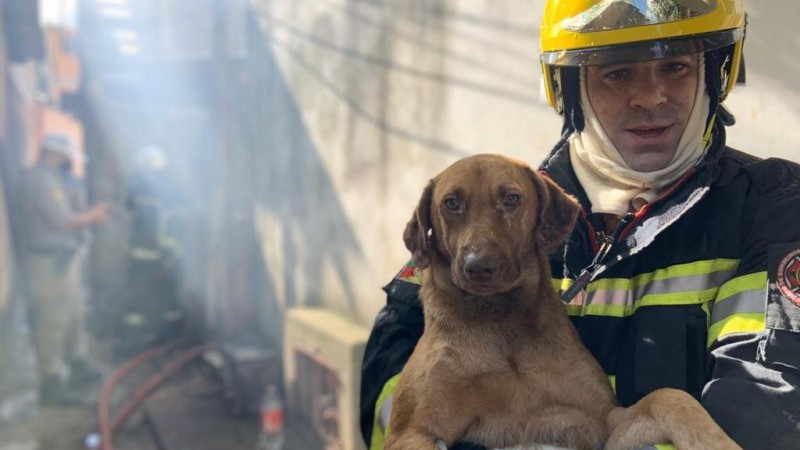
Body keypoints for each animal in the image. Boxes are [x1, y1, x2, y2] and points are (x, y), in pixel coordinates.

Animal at [384, 155, 740, 450]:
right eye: (451, 203)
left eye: (511, 198)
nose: (479, 266)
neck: (501, 323)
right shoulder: (410, 433)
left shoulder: (604, 421)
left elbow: (668, 397)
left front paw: (715, 441)